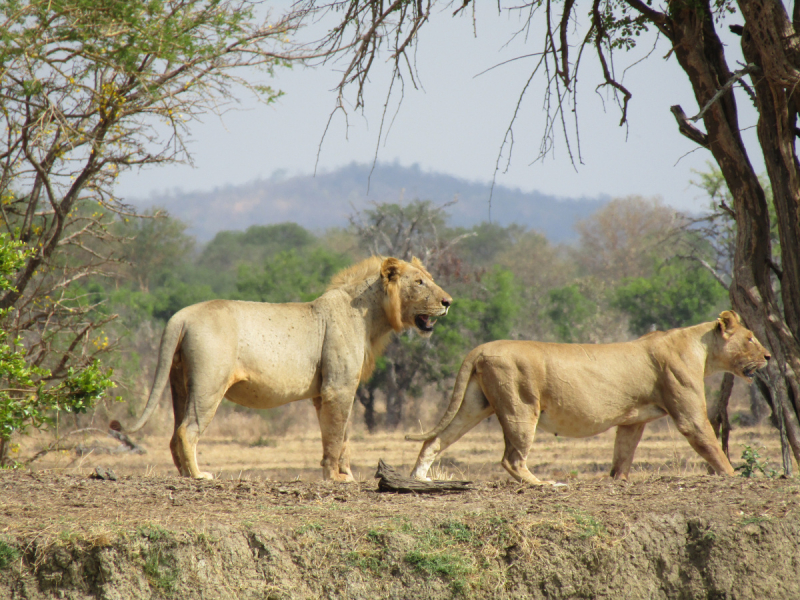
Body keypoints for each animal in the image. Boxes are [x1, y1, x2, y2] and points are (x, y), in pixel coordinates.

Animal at [134, 255, 454, 480]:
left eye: (429, 278)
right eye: (419, 282)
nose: (448, 301)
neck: (371, 317)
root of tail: (181, 316)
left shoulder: (327, 392)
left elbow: (342, 436)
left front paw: (346, 476)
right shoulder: (337, 388)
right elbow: (336, 436)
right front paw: (335, 478)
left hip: (179, 382)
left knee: (174, 432)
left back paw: (184, 474)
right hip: (208, 385)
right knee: (187, 430)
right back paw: (198, 475)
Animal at [410, 310, 772, 482]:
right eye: (751, 338)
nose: (769, 356)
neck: (701, 348)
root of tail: (481, 348)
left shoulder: (633, 421)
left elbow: (622, 454)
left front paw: (617, 480)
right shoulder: (689, 415)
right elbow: (712, 447)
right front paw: (733, 477)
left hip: (474, 404)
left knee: (435, 440)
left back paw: (420, 478)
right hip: (521, 408)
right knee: (511, 459)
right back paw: (545, 485)